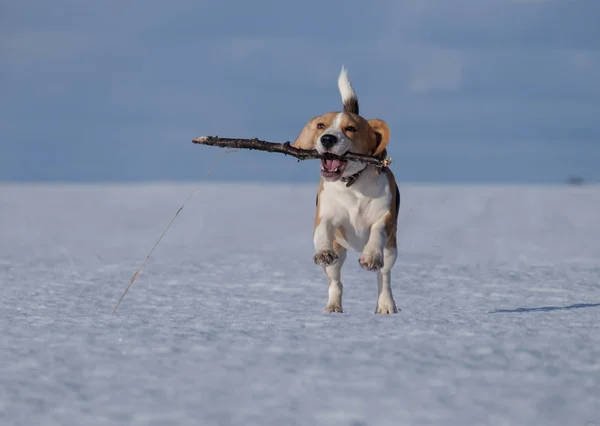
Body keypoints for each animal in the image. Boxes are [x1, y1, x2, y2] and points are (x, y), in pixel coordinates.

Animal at [292, 66, 400, 312]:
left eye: (350, 128)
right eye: (321, 126)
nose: (327, 139)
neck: (352, 183)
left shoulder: (385, 218)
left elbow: (377, 232)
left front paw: (370, 256)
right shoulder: (324, 217)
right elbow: (323, 231)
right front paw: (323, 252)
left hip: (391, 251)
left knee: (384, 277)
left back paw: (386, 305)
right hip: (338, 255)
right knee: (336, 282)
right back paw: (333, 307)